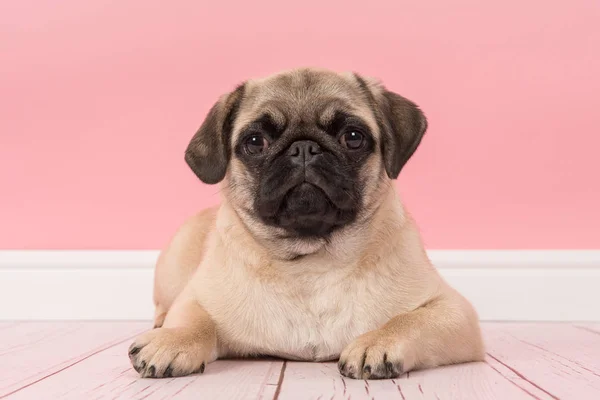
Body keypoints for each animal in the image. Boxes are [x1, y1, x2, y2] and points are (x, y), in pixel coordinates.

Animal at [129, 67, 486, 380]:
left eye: (353, 137)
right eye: (255, 142)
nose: (303, 147)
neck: (311, 260)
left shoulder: (452, 311)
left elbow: (406, 321)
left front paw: (377, 342)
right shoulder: (196, 298)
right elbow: (195, 321)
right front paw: (172, 341)